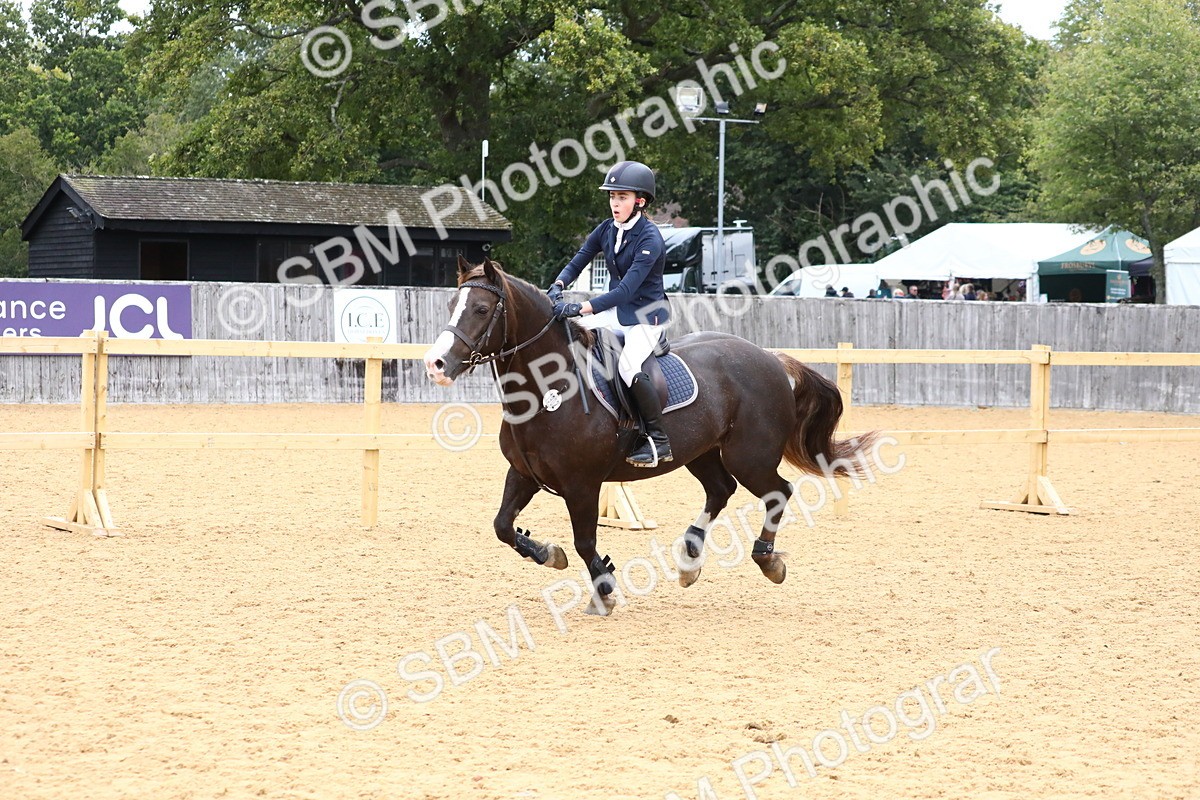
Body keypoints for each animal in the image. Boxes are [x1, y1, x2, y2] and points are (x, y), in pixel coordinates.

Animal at [423, 256, 873, 614]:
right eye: (450, 305)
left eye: (481, 308)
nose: (436, 364)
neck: (548, 390)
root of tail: (771, 357)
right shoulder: (524, 474)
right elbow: (502, 526)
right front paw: (550, 554)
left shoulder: (581, 485)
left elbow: (585, 542)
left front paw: (604, 591)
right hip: (701, 453)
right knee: (720, 490)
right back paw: (690, 560)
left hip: (750, 457)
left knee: (777, 491)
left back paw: (768, 560)